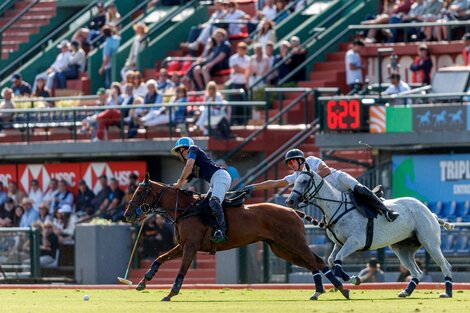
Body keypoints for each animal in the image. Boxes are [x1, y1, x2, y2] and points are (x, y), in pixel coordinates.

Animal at [123, 172, 350, 302]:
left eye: (139, 192)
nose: (127, 214)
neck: (186, 209)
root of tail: (292, 210)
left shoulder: (191, 246)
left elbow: (182, 270)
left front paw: (171, 293)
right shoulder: (183, 245)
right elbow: (159, 258)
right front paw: (144, 281)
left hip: (294, 242)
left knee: (317, 261)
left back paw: (342, 289)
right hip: (282, 248)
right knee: (313, 263)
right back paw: (321, 291)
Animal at [284, 171, 454, 298]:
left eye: (304, 181)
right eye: (295, 181)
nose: (290, 201)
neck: (336, 207)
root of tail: (431, 212)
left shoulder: (355, 242)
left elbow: (337, 261)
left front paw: (348, 283)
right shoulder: (339, 243)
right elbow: (332, 260)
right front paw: (354, 279)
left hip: (430, 243)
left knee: (445, 266)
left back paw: (447, 293)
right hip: (401, 250)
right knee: (416, 272)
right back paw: (406, 291)